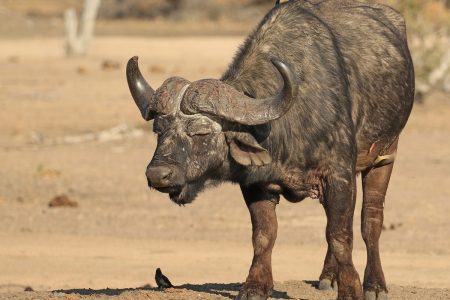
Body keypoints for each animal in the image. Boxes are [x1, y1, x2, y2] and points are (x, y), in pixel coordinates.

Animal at [126, 1, 414, 298]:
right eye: (158, 131)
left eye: (201, 132)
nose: (157, 174)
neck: (286, 124)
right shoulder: (255, 184)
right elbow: (264, 235)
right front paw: (255, 286)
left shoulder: (339, 178)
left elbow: (340, 235)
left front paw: (351, 289)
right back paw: (327, 277)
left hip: (385, 156)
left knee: (371, 220)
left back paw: (375, 285)